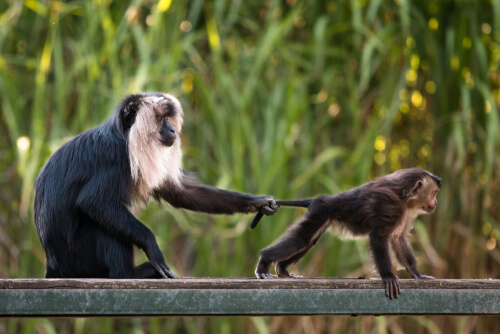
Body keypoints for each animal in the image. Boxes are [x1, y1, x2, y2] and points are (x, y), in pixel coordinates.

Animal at [33, 91, 280, 280]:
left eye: (168, 119)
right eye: (160, 118)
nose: (172, 130)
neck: (124, 137)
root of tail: (54, 266)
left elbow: (180, 193)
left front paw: (258, 203)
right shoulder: (116, 159)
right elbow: (94, 202)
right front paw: (153, 248)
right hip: (79, 257)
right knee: (101, 222)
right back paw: (130, 274)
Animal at [254, 168, 442, 298]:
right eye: (434, 193)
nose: (436, 202)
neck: (404, 199)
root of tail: (323, 200)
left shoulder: (404, 213)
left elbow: (397, 238)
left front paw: (417, 274)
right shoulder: (390, 205)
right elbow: (379, 237)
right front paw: (387, 275)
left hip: (321, 215)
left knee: (307, 241)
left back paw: (283, 270)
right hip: (321, 212)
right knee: (301, 240)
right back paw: (265, 261)